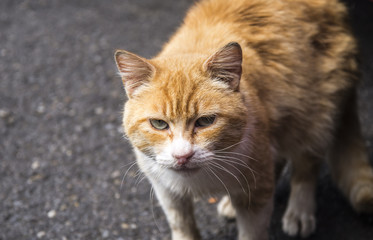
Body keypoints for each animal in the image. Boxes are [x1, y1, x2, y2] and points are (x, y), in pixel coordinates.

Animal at [113, 0, 372, 240]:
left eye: (205, 121)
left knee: (307, 164)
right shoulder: (166, 190)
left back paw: (299, 211)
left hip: (315, 114)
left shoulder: (257, 186)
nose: (182, 156)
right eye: (158, 124)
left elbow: (253, 229)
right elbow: (182, 225)